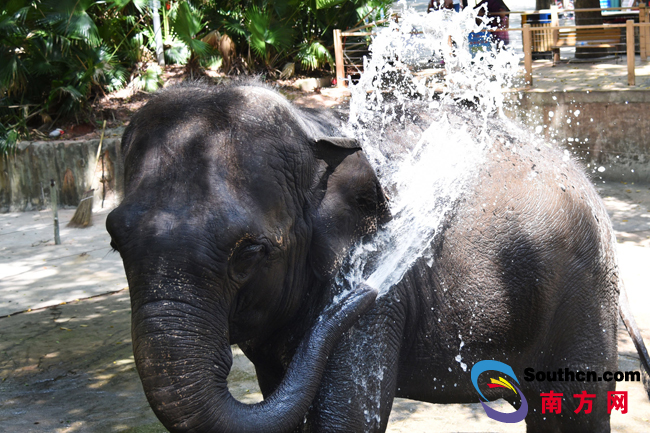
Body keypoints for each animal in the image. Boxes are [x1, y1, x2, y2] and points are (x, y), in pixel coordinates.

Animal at [107, 82, 648, 432]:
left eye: (250, 252)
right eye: (115, 241)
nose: (358, 297)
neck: (314, 129)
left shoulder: (374, 283)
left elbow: (345, 417)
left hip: (583, 289)